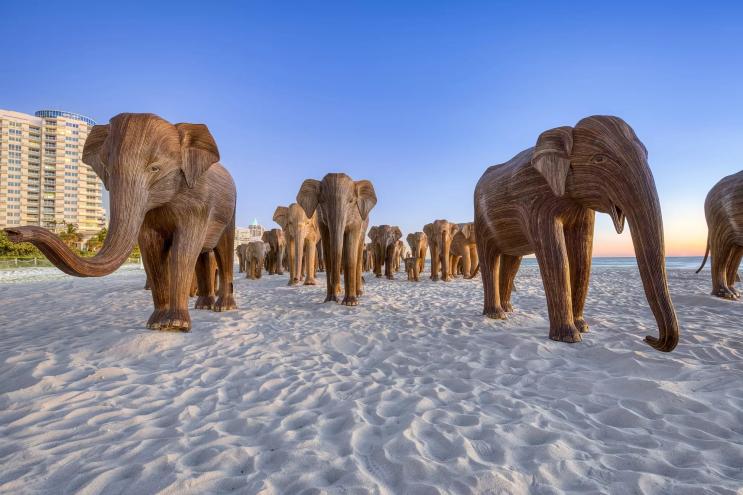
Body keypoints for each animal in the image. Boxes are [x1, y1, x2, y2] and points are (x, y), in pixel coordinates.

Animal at [5, 112, 237, 331]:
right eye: (107, 170)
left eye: (155, 168)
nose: (12, 232)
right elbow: (150, 249)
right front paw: (156, 325)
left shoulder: (197, 201)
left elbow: (183, 250)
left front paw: (176, 325)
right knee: (203, 255)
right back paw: (203, 306)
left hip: (230, 210)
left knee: (223, 250)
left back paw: (223, 307)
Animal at [297, 173, 377, 305]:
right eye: (322, 201)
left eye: (351, 201)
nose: (335, 282)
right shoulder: (321, 219)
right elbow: (328, 252)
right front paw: (331, 300)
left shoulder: (357, 218)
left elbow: (350, 253)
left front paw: (350, 303)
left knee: (358, 252)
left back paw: (358, 294)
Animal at [473, 115, 679, 352]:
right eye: (599, 159)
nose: (648, 338)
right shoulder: (536, 200)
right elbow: (556, 255)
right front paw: (569, 337)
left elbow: (583, 255)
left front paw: (583, 327)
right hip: (481, 218)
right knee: (490, 258)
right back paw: (496, 315)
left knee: (512, 261)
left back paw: (508, 310)